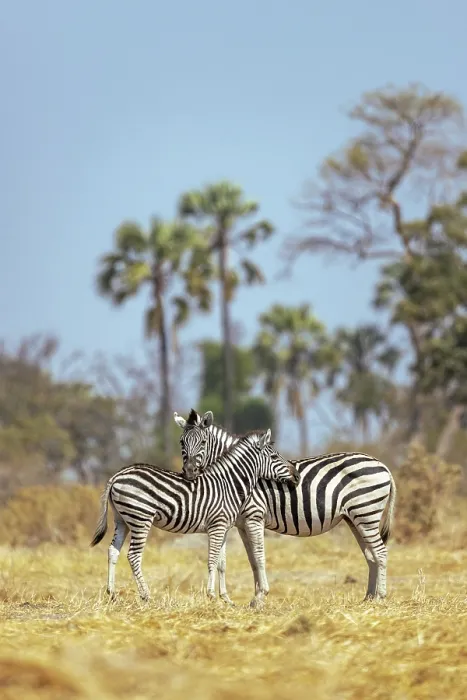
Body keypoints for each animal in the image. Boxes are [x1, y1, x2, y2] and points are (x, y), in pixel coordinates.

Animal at [90, 429, 300, 602]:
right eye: (274, 456)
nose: (296, 476)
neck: (229, 484)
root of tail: (116, 476)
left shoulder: (223, 528)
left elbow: (221, 562)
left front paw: (226, 599)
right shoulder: (217, 525)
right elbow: (212, 559)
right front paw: (211, 595)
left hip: (122, 520)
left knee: (113, 551)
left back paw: (112, 594)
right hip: (141, 518)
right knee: (133, 556)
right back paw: (146, 596)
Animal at [173, 408, 396, 607]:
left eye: (203, 442)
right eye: (182, 442)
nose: (189, 472)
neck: (236, 475)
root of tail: (383, 466)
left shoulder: (254, 517)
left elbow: (259, 556)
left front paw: (260, 597)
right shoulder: (240, 523)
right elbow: (248, 560)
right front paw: (251, 598)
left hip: (366, 513)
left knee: (381, 552)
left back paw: (380, 597)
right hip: (356, 518)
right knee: (371, 556)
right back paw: (368, 598)